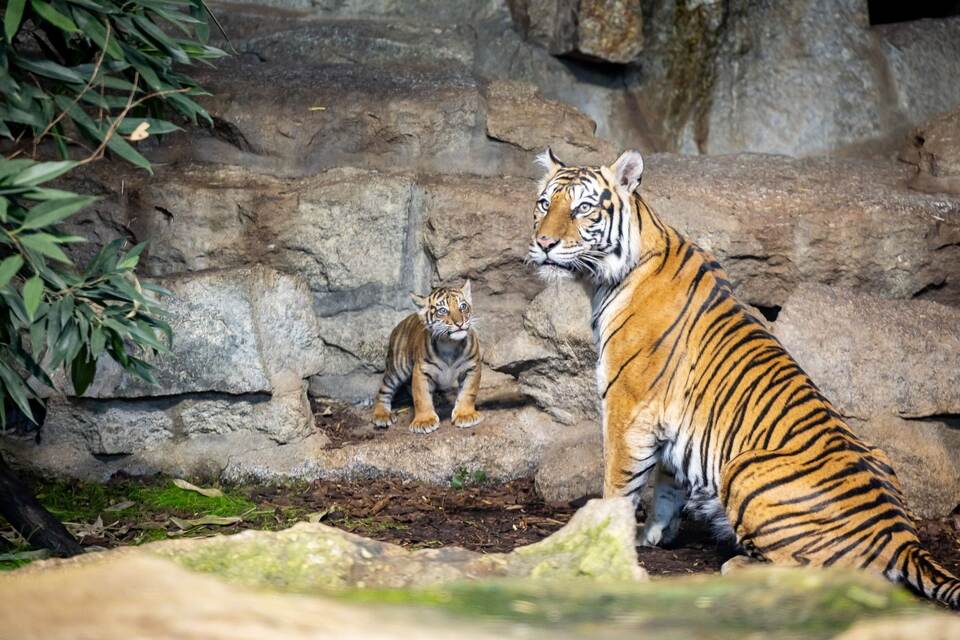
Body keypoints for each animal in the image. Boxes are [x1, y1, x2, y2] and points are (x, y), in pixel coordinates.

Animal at [372, 281, 483, 434]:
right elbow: (421, 397)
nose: (460, 323)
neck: (450, 344)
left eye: (463, 306)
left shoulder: (472, 367)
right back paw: (381, 415)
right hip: (397, 369)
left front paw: (465, 415)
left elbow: (468, 392)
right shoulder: (421, 371)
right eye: (442, 310)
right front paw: (424, 421)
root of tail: (401, 322)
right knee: (384, 389)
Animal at [527, 147, 960, 608]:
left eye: (582, 208)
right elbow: (665, 487)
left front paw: (600, 539)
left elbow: (618, 481)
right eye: (544, 204)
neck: (604, 279)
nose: (545, 243)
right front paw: (651, 535)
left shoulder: (627, 405)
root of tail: (904, 539)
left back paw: (738, 565)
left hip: (743, 467)